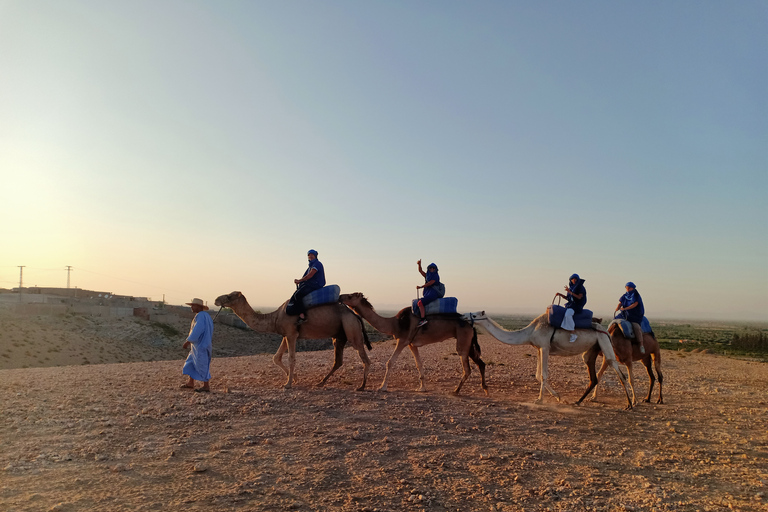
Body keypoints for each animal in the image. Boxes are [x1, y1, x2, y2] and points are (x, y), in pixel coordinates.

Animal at [213, 290, 372, 390]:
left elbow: (291, 358)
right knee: (338, 360)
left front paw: (288, 384)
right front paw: (294, 377)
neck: (275, 317)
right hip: (339, 336)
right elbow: (276, 357)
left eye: (229, 296)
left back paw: (362, 386)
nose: (216, 299)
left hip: (351, 328)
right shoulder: (286, 335)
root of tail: (355, 315)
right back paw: (321, 383)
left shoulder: (291, 334)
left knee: (364, 356)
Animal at [340, 292, 488, 396]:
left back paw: (456, 391)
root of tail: (471, 325)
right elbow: (419, 364)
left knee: (467, 367)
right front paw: (422, 388)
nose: (340, 296)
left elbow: (390, 362)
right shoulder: (412, 344)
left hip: (463, 340)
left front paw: (382, 387)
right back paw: (485, 389)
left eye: (350, 295)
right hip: (468, 342)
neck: (394, 324)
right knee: (480, 363)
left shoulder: (402, 340)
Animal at [460, 310, 632, 410]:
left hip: (604, 341)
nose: (462, 316)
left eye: (474, 315)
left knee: (617, 368)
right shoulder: (538, 348)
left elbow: (543, 374)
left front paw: (540, 400)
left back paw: (630, 404)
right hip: (593, 348)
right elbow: (537, 375)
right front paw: (560, 398)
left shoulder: (545, 347)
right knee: (593, 374)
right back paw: (578, 401)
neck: (529, 332)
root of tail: (605, 329)